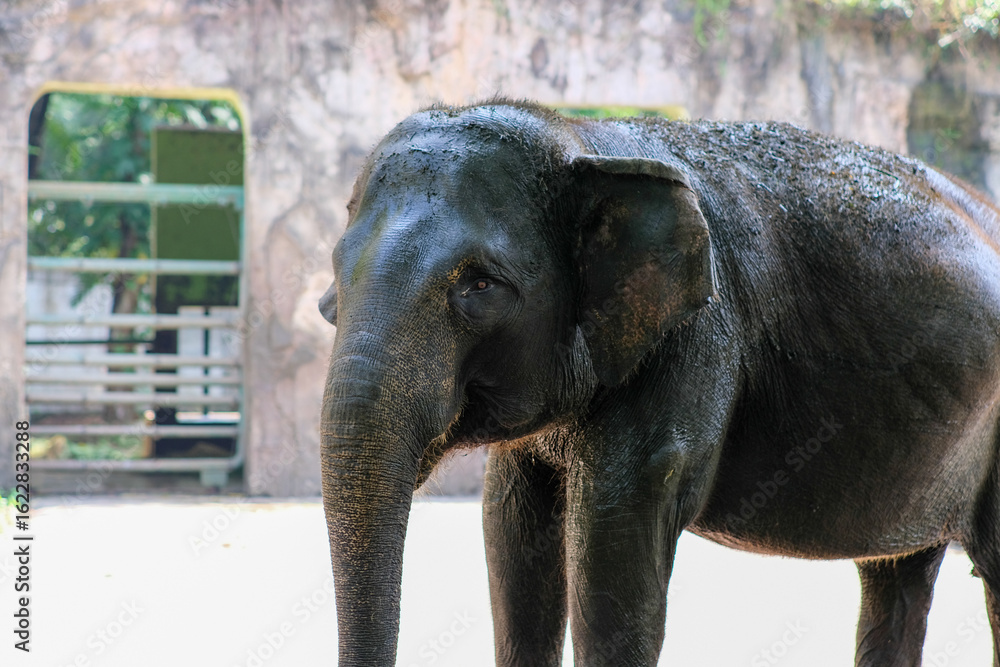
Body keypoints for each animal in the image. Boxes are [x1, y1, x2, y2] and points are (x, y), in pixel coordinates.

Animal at [318, 99, 1000, 667]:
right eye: (335, 275)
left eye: (480, 285)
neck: (585, 140)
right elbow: (511, 538)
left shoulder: (695, 342)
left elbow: (614, 551)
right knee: (897, 576)